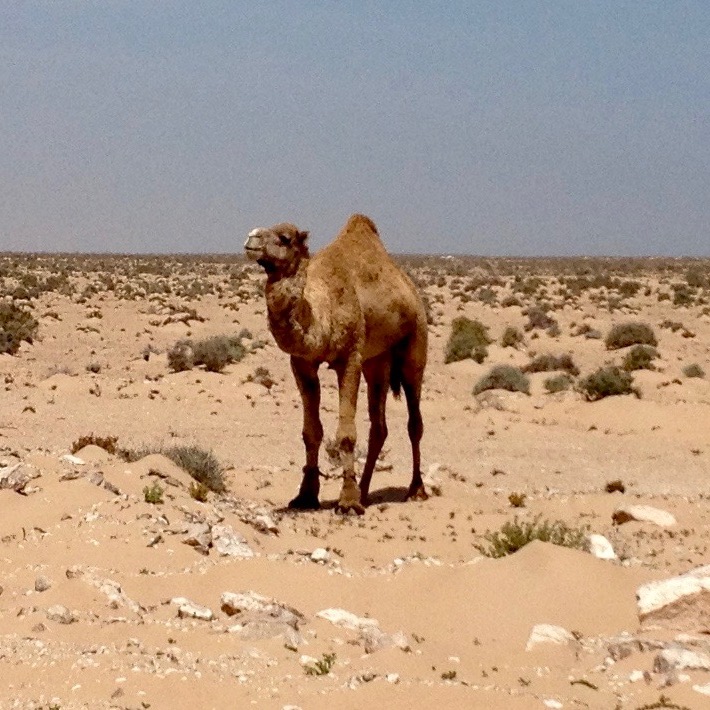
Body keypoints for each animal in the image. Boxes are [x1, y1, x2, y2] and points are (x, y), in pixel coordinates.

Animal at [244, 214, 428, 514]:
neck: (321, 312)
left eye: (285, 238)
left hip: (415, 347)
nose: (251, 238)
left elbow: (346, 433)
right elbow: (311, 431)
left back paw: (415, 490)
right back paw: (365, 491)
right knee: (379, 427)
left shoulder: (350, 358)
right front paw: (305, 496)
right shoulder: (302, 363)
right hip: (377, 360)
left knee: (415, 422)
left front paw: (348, 502)